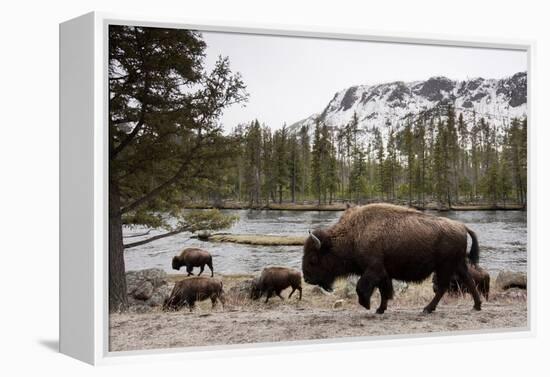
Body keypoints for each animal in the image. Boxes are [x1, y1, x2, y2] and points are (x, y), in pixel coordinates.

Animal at [302, 204, 484, 312]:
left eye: (313, 258)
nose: (307, 278)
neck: (353, 234)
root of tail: (462, 226)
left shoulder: (374, 269)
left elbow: (362, 287)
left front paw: (367, 305)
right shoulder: (384, 273)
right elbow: (385, 291)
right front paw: (380, 309)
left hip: (445, 267)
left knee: (443, 287)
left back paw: (427, 308)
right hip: (457, 265)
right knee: (468, 281)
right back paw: (476, 306)